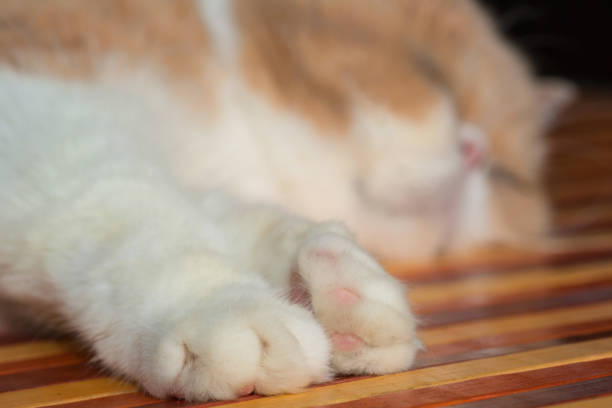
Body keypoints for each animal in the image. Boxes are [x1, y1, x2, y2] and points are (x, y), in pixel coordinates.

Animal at [1, 0, 572, 402]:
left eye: (507, 176)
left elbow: (222, 213)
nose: (478, 152)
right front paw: (218, 301)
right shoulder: (42, 113)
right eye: (431, 72)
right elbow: (127, 206)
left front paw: (326, 280)